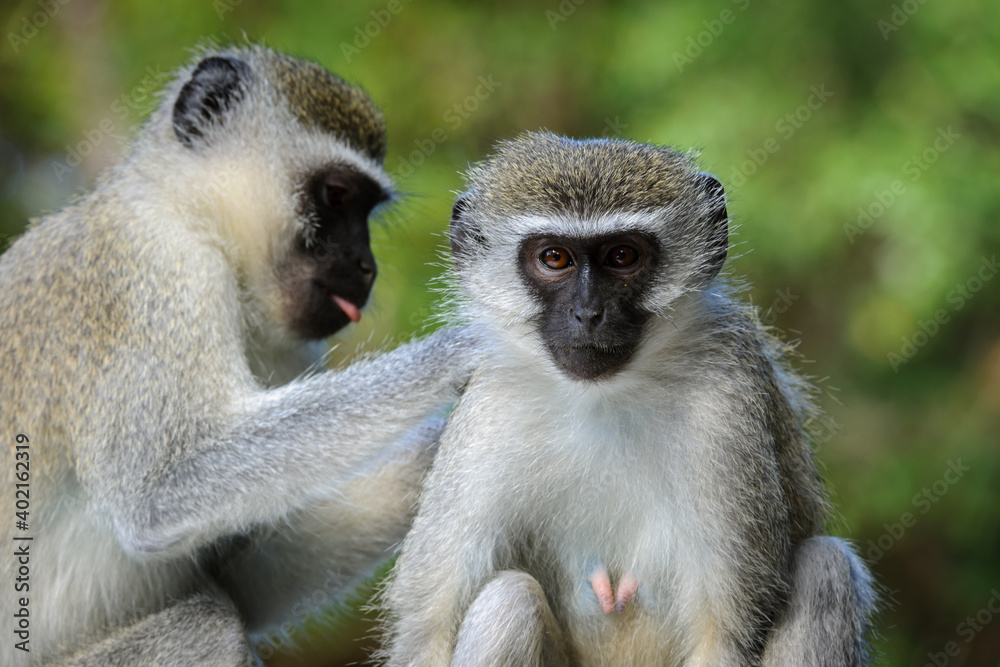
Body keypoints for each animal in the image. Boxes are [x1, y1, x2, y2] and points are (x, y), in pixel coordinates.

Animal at [0, 44, 476, 664]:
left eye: (367, 209)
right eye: (337, 196)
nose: (367, 267)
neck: (192, 215)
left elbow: (243, 581)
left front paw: (441, 450)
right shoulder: (155, 268)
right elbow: (161, 488)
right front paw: (465, 349)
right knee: (211, 626)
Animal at [382, 133, 876, 664]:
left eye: (621, 256)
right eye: (554, 258)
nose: (587, 313)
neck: (603, 398)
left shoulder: (726, 403)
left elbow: (722, 637)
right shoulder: (489, 411)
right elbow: (426, 633)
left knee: (827, 568)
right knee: (507, 600)